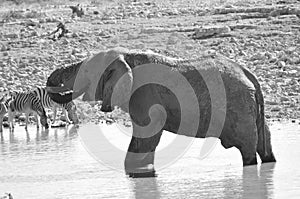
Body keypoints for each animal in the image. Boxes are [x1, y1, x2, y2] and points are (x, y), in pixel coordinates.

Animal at [46, 47, 276, 177]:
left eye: (85, 71)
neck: (127, 56)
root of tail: (249, 74)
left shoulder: (145, 95)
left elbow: (146, 136)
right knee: (264, 144)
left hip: (239, 107)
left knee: (247, 150)